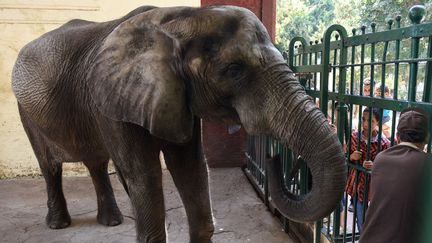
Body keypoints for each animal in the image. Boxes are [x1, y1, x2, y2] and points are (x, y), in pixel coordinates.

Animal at [11, 5, 346, 243]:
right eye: (234, 70)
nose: (272, 155)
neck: (175, 18)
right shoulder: (113, 101)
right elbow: (144, 176)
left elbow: (192, 168)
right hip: (25, 110)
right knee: (49, 166)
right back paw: (59, 224)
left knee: (96, 162)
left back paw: (112, 221)